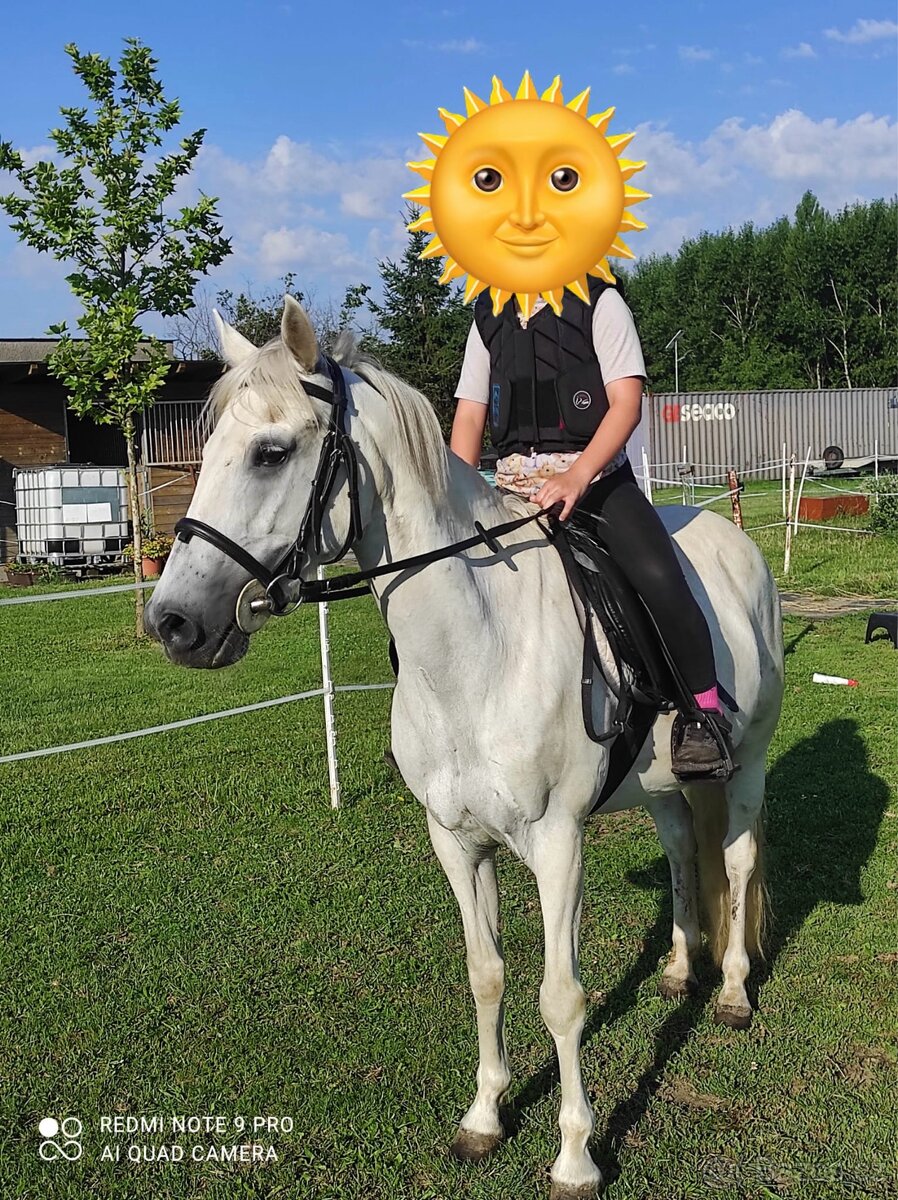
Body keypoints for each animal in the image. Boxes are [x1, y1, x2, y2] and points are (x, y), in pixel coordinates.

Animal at [144, 296, 784, 1199]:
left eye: (272, 452)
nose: (172, 623)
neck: (478, 651)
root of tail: (735, 543)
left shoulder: (557, 844)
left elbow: (561, 996)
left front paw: (575, 1156)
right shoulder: (454, 839)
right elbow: (486, 976)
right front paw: (485, 1117)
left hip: (750, 760)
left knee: (735, 856)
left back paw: (728, 993)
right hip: (661, 782)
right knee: (682, 855)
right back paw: (678, 970)